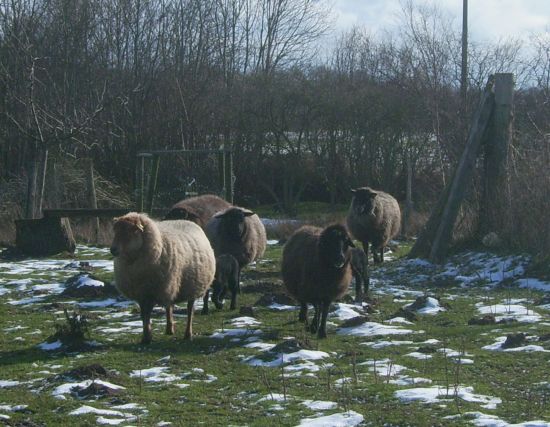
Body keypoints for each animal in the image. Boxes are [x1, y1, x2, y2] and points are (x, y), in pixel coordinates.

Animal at [110, 212, 215, 344]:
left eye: (132, 230)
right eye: (115, 231)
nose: (113, 249)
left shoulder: (151, 291)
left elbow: (147, 313)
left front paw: (147, 337)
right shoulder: (141, 293)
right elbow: (144, 315)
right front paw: (146, 336)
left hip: (192, 285)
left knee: (190, 310)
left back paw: (188, 334)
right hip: (171, 285)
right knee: (169, 306)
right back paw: (169, 329)